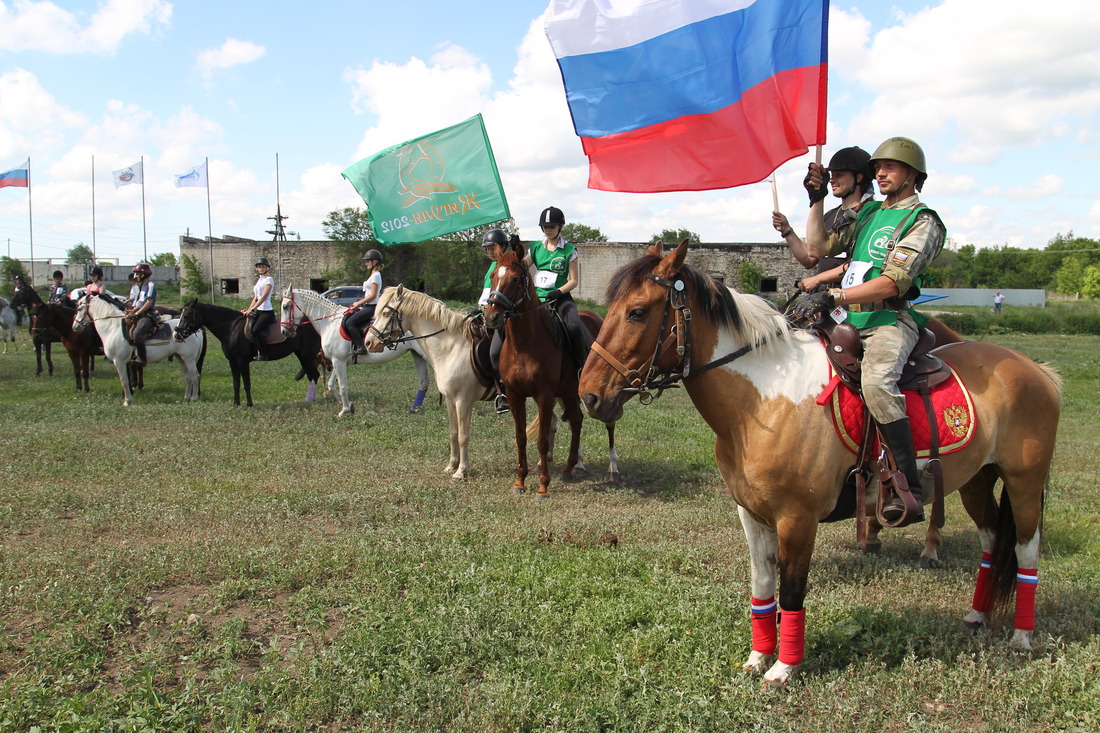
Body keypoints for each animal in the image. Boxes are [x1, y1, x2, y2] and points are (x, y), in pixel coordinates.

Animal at [74, 290, 206, 405]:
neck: (113, 327)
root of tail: (195, 330)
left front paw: (127, 401)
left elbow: (124, 381)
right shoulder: (126, 362)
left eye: (79, 308)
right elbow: (127, 380)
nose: (75, 326)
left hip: (189, 359)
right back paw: (186, 398)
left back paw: (194, 398)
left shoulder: (119, 361)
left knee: (195, 376)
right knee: (188, 377)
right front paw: (128, 397)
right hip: (181, 358)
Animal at [174, 299, 321, 407]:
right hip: (302, 356)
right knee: (312, 376)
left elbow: (246, 383)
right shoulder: (232, 361)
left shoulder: (242, 360)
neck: (231, 329)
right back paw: (311, 399)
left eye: (186, 315)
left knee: (314, 375)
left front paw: (249, 404)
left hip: (306, 356)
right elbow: (236, 383)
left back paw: (312, 400)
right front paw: (236, 403)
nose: (176, 334)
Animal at [279, 283, 429, 413]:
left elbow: (342, 386)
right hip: (417, 355)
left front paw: (345, 410)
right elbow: (331, 385)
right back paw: (415, 408)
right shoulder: (339, 361)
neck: (329, 323)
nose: (284, 332)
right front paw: (348, 405)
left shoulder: (338, 361)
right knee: (424, 383)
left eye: (285, 306)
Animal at [484, 242, 620, 493]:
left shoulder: (544, 395)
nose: (492, 317)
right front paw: (520, 481)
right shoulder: (515, 395)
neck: (524, 344)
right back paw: (570, 467)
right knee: (576, 421)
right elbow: (521, 437)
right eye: (492, 275)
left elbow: (542, 440)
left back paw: (613, 468)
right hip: (569, 392)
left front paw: (543, 486)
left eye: (516, 279)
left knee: (609, 423)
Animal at [580, 241, 1060, 686]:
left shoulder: (797, 519)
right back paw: (978, 617)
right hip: (976, 481)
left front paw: (783, 668)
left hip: (1024, 482)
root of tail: (1037, 370)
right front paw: (757, 658)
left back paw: (1022, 637)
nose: (589, 395)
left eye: (638, 312)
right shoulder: (752, 516)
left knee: (1026, 550)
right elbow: (762, 588)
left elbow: (792, 592)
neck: (762, 401)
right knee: (991, 541)